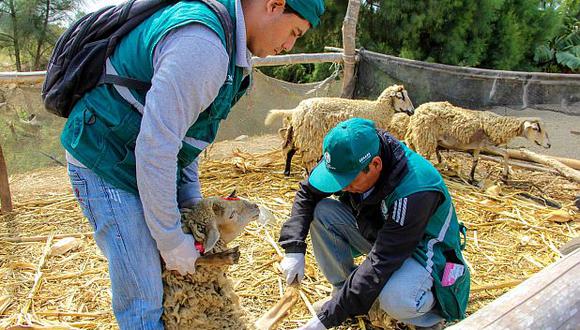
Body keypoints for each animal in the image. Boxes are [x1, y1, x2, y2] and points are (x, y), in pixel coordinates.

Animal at [266, 84, 414, 175]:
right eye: (401, 97)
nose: (412, 111)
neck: (377, 110)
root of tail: (297, 110)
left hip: (301, 134)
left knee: (290, 150)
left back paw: (287, 172)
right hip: (310, 137)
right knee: (302, 156)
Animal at [406, 101, 552, 182]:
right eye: (536, 128)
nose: (549, 145)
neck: (500, 126)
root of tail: (418, 111)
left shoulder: (477, 146)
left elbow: (476, 161)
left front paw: (471, 178)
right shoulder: (488, 145)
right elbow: (506, 154)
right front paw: (505, 176)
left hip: (417, 136)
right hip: (425, 137)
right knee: (422, 155)